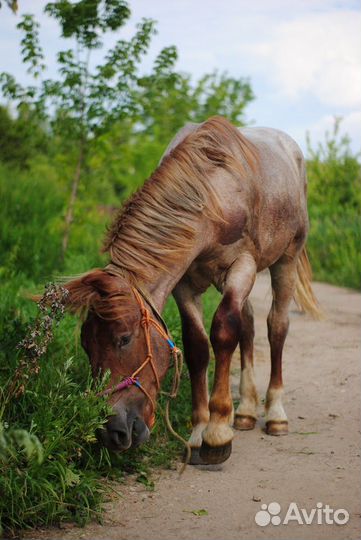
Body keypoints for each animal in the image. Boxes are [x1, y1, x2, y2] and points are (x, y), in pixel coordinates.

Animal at [62, 117, 320, 464]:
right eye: (86, 345)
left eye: (124, 339)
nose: (113, 431)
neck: (211, 196)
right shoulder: (184, 285)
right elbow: (198, 346)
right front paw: (199, 432)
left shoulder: (242, 267)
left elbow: (223, 333)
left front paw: (218, 433)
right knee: (249, 326)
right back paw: (246, 412)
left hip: (286, 262)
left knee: (276, 326)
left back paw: (275, 414)